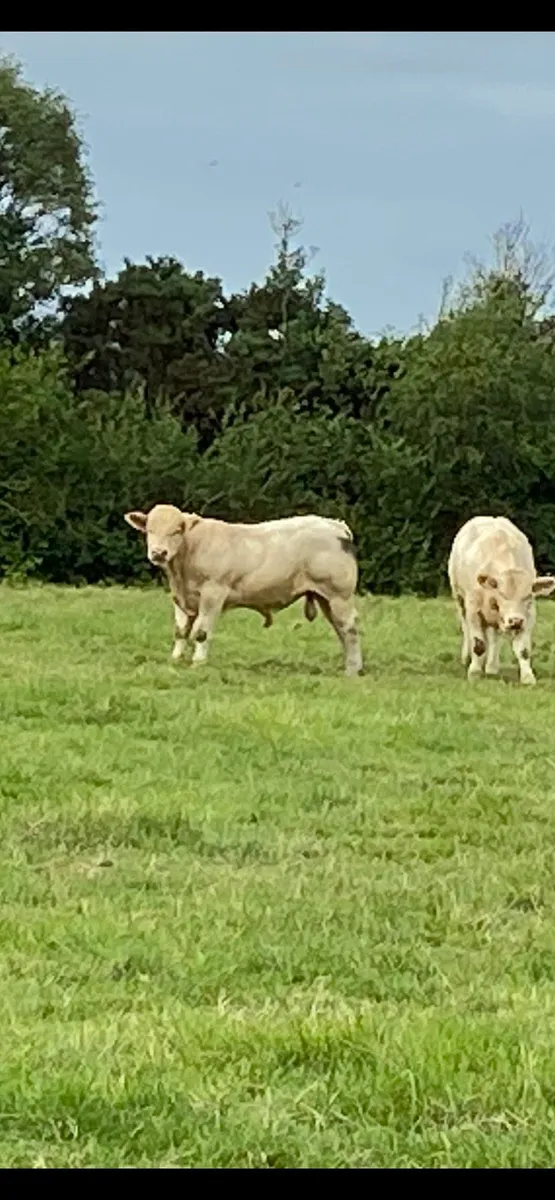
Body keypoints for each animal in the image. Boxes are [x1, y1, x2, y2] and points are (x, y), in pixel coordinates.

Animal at [124, 505, 363, 676]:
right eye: (150, 530)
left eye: (176, 531)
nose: (159, 553)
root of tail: (334, 524)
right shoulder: (180, 599)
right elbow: (180, 631)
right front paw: (174, 660)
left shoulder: (213, 594)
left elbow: (201, 632)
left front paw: (198, 663)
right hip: (326, 597)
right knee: (340, 629)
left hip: (339, 595)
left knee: (349, 629)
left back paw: (353, 670)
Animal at [447, 515, 555, 685]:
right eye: (502, 594)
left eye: (527, 597)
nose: (515, 621)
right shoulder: (473, 611)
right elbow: (478, 644)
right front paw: (474, 672)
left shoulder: (528, 616)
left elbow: (523, 650)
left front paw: (527, 677)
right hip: (459, 598)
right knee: (466, 629)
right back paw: (467, 658)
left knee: (494, 637)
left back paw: (492, 667)